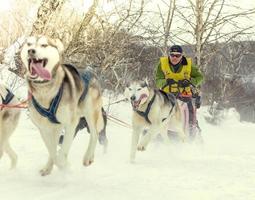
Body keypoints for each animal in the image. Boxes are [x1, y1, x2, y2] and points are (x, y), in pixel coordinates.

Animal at [20, 35, 106, 175]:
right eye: (29, 44)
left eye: (44, 45)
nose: (31, 51)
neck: (45, 90)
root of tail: (91, 71)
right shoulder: (44, 128)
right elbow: (52, 150)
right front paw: (50, 167)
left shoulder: (71, 124)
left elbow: (62, 151)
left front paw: (64, 165)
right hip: (59, 126)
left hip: (90, 112)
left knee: (95, 134)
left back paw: (88, 157)